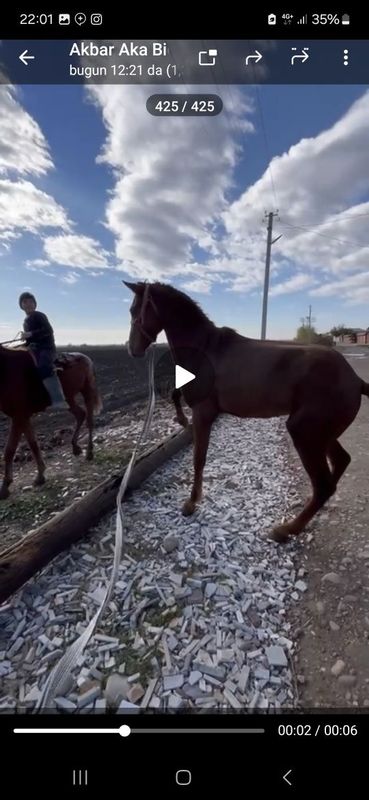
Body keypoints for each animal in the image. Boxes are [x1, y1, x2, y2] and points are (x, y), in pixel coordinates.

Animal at [0, 346, 102, 500]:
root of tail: (85, 357)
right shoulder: (23, 417)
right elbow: (33, 444)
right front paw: (40, 476)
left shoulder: (18, 417)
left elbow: (9, 450)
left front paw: (5, 486)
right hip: (69, 398)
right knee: (80, 415)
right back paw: (75, 447)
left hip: (87, 391)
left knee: (89, 421)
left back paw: (89, 452)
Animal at [124, 282, 368, 544]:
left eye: (134, 310)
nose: (132, 349)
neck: (204, 348)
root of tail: (355, 380)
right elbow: (176, 397)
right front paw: (180, 419)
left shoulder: (203, 414)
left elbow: (199, 459)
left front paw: (191, 503)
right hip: (323, 435)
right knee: (340, 463)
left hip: (306, 434)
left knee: (323, 485)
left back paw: (286, 529)